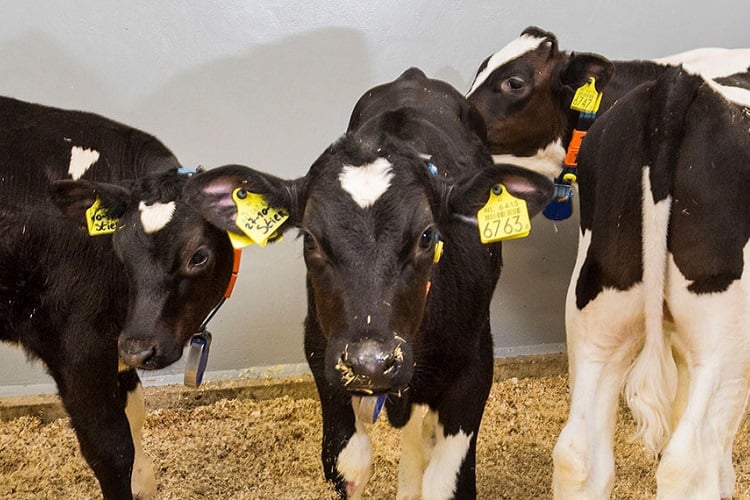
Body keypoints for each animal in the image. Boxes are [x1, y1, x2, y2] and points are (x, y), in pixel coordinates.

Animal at [0, 95, 235, 499]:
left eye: (199, 256)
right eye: (120, 250)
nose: (141, 349)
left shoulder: (119, 344)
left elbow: (135, 414)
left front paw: (144, 484)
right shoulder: (77, 348)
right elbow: (111, 450)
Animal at [183, 67, 553, 498]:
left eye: (427, 236)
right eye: (310, 239)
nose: (370, 363)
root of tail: (415, 77)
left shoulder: (475, 364)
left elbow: (446, 482)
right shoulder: (322, 353)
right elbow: (346, 462)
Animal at [467, 27, 750, 498]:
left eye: (513, 81)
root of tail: (674, 87)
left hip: (595, 309)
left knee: (577, 453)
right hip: (723, 332)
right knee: (688, 461)